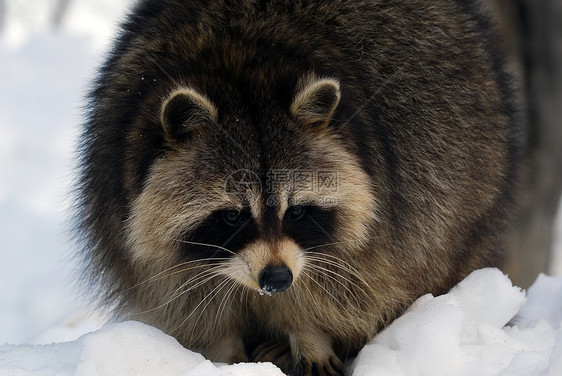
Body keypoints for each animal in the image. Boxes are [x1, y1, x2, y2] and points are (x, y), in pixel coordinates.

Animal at [76, 0, 520, 376]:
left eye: (297, 211)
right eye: (232, 216)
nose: (276, 279)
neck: (238, 66)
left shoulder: (383, 220)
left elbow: (345, 283)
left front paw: (307, 333)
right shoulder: (121, 196)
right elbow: (184, 294)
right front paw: (222, 350)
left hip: (466, 188)